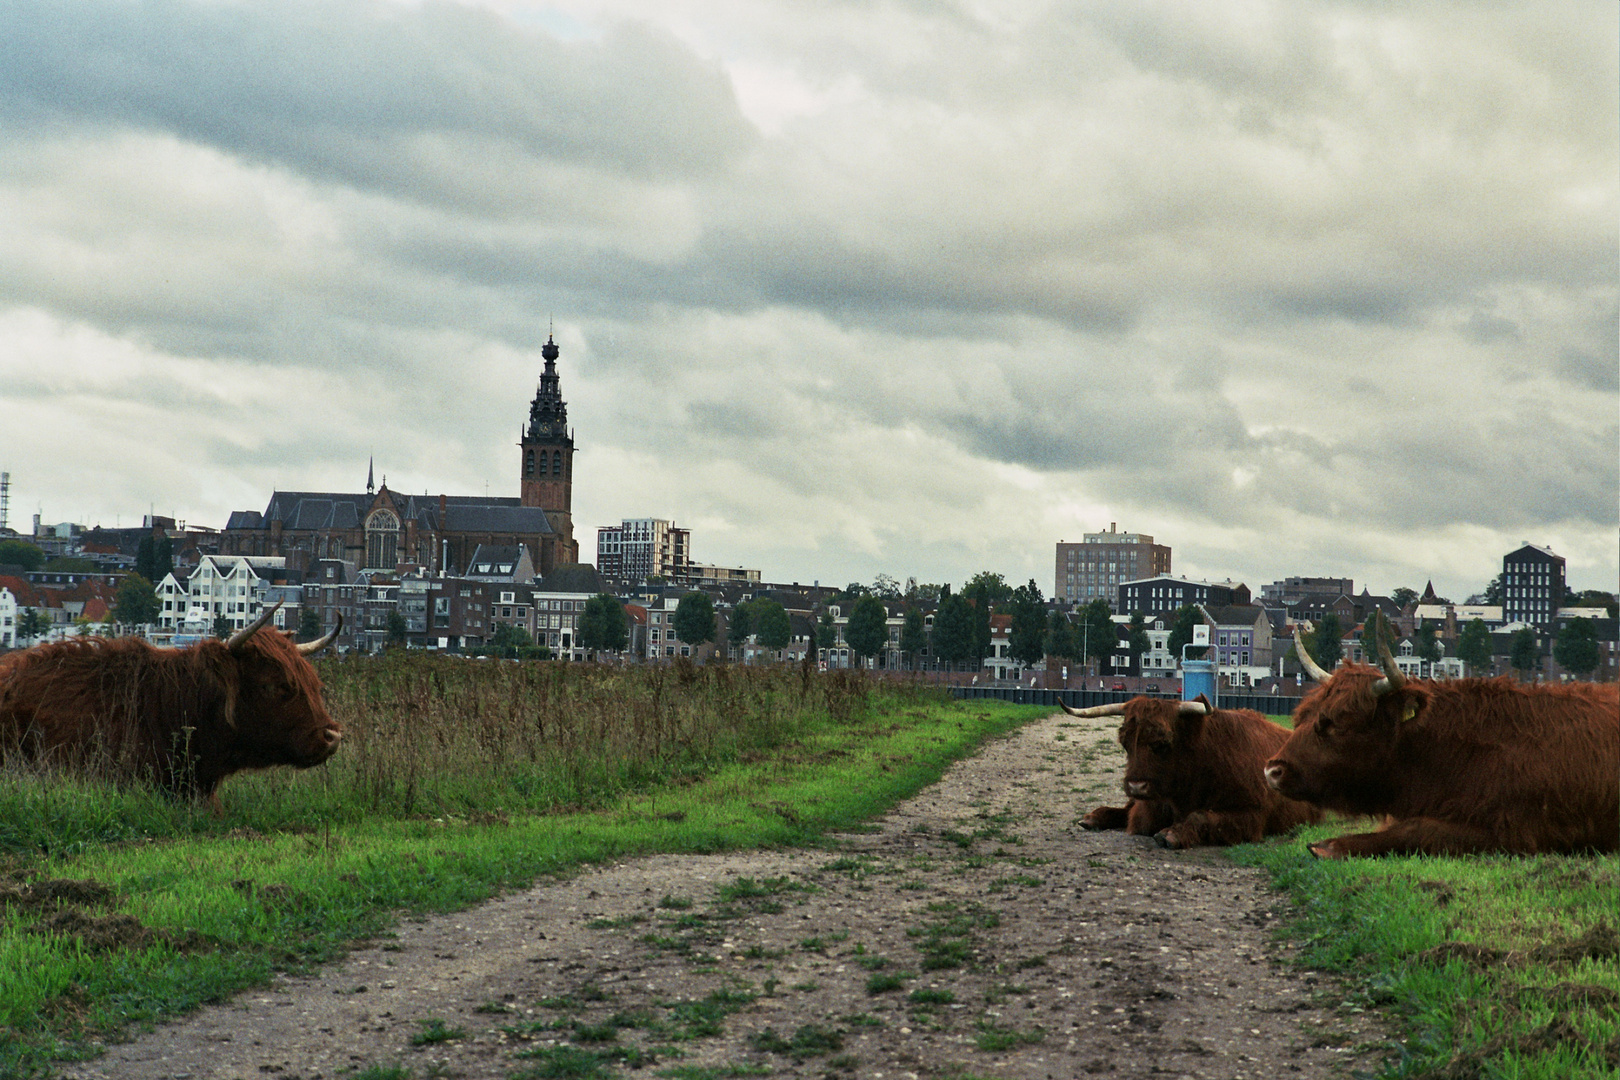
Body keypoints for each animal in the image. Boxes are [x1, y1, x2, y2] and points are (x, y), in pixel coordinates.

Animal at [1062, 696, 1315, 848]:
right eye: (1125, 743)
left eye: (1162, 743)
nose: (1136, 786)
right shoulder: (1148, 806)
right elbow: (1132, 814)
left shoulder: (1251, 815)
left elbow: (1201, 816)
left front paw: (1172, 834)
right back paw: (1092, 818)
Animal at [1263, 641, 1620, 861]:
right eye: (1303, 715)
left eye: (1335, 722)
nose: (1272, 771)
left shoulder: (1515, 833)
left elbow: (1416, 830)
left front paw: (1333, 845)